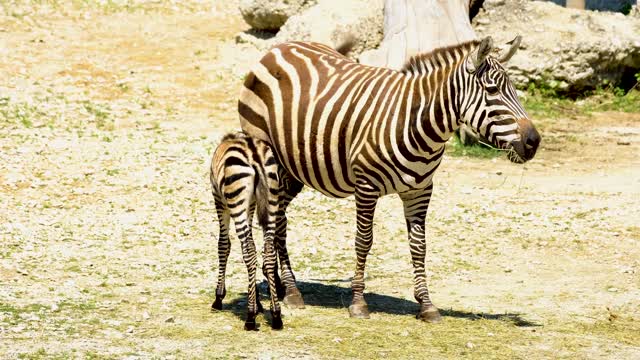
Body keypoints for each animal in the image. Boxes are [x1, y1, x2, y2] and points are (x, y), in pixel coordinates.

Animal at [210, 133, 282, 332]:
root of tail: (254, 152)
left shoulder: (219, 200)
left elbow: (223, 245)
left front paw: (219, 297)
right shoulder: (251, 204)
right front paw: (258, 302)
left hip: (235, 200)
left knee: (248, 250)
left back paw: (249, 317)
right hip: (272, 198)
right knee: (268, 252)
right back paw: (276, 315)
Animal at [239, 36, 540, 322]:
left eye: (514, 90)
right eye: (492, 91)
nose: (534, 142)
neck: (417, 122)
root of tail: (279, 47)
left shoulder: (420, 190)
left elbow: (419, 246)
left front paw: (427, 305)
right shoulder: (366, 185)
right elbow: (364, 240)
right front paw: (358, 303)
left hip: (295, 170)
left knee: (278, 218)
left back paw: (279, 284)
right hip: (269, 161)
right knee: (273, 218)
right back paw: (290, 291)